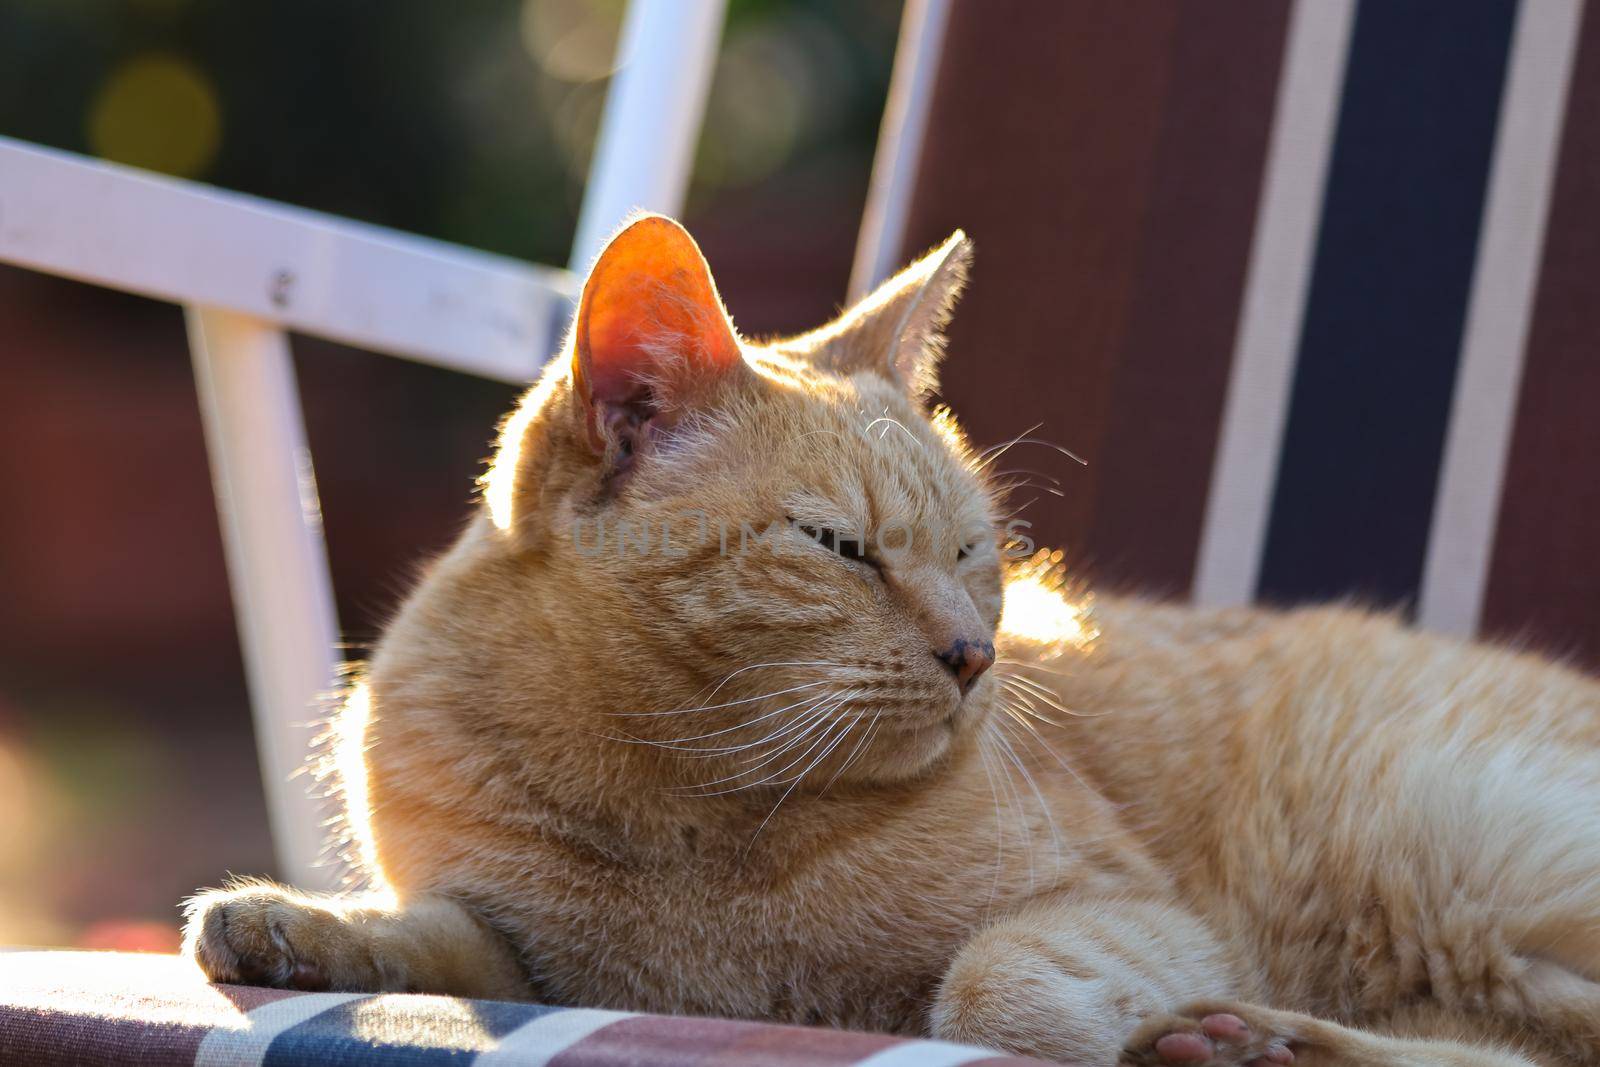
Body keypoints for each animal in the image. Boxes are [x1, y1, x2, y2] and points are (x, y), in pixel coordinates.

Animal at [184, 217, 1600, 1067]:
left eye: (977, 552)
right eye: (843, 547)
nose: (977, 652)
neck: (688, 811)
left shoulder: (1129, 908)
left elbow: (992, 987)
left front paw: (1111, 1028)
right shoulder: (522, 949)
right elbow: (418, 933)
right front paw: (286, 922)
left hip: (1443, 847)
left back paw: (1253, 1036)